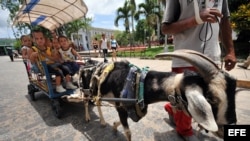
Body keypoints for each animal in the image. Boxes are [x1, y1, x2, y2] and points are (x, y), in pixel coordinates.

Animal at [80, 49, 238, 140]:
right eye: (211, 99)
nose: (227, 128)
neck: (137, 82)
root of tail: (86, 63)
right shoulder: (120, 107)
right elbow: (128, 132)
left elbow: (122, 122)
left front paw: (113, 125)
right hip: (86, 89)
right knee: (86, 101)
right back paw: (87, 118)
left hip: (97, 92)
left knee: (97, 102)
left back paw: (102, 122)